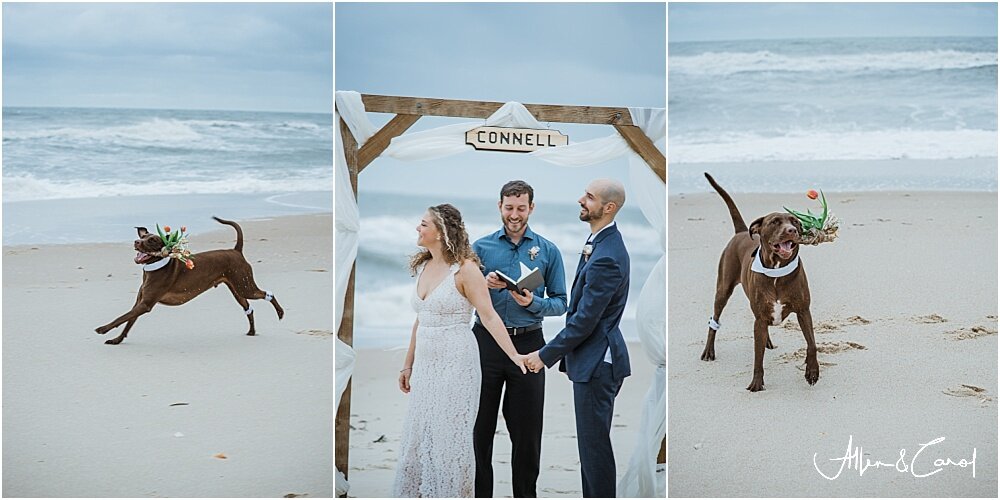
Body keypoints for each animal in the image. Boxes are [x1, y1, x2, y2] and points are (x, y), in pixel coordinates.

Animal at [95, 217, 284, 346]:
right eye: (143, 236)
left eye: (152, 240)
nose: (136, 241)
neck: (155, 268)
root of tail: (236, 250)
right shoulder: (139, 303)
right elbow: (128, 322)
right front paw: (116, 339)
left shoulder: (145, 305)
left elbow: (121, 318)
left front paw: (103, 329)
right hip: (237, 288)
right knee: (248, 308)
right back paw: (252, 331)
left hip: (245, 286)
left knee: (267, 294)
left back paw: (280, 313)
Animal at [700, 174, 816, 392]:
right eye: (774, 222)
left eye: (795, 222)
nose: (791, 230)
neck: (777, 270)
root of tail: (741, 232)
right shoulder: (760, 318)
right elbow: (757, 357)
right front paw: (756, 383)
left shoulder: (804, 311)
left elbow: (812, 343)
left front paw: (812, 372)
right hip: (723, 289)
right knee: (715, 320)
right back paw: (708, 351)